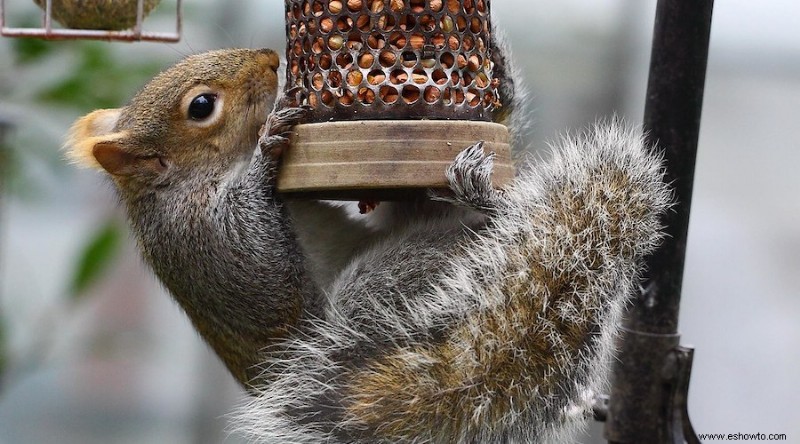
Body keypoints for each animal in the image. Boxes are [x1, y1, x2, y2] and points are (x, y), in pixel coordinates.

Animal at [65, 44, 672, 440]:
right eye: (201, 107)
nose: (269, 58)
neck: (191, 181)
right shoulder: (206, 242)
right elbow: (268, 270)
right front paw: (266, 149)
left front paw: (491, 71)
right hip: (389, 287)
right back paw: (494, 210)